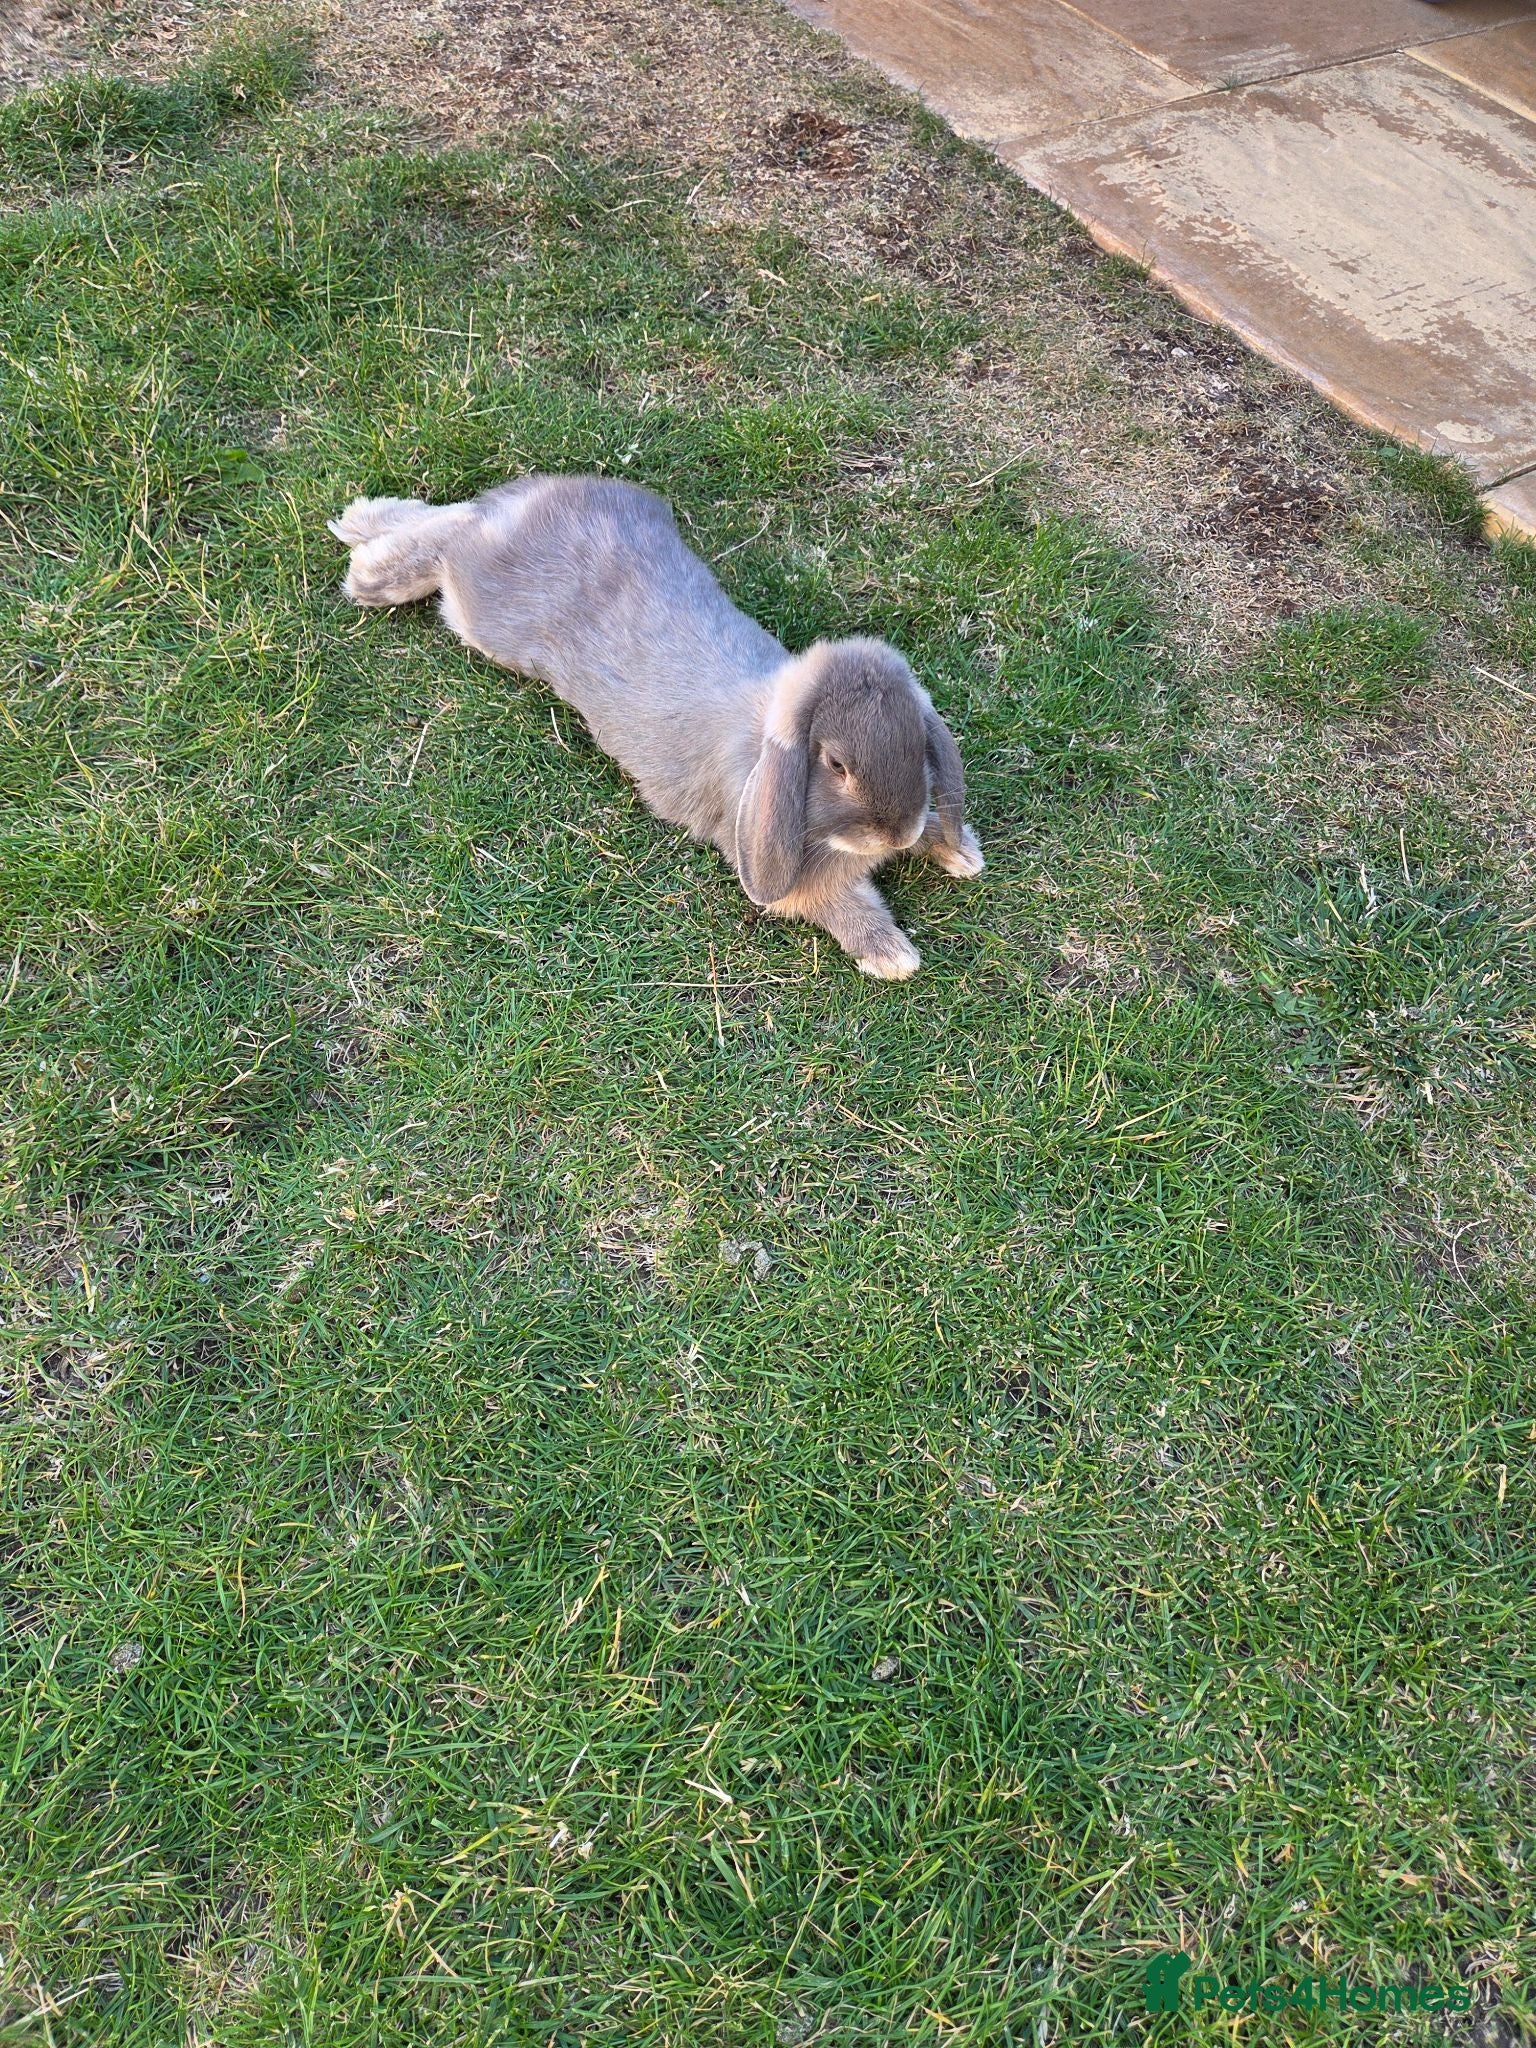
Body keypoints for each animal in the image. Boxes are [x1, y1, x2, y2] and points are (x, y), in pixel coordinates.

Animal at [328, 474, 983, 979]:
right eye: (837, 764)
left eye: (916, 745)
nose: (895, 833)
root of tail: (523, 506)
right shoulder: (790, 873)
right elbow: (846, 906)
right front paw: (894, 957)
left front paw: (961, 856)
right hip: (484, 612)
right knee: (450, 537)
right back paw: (365, 562)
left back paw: (361, 520)